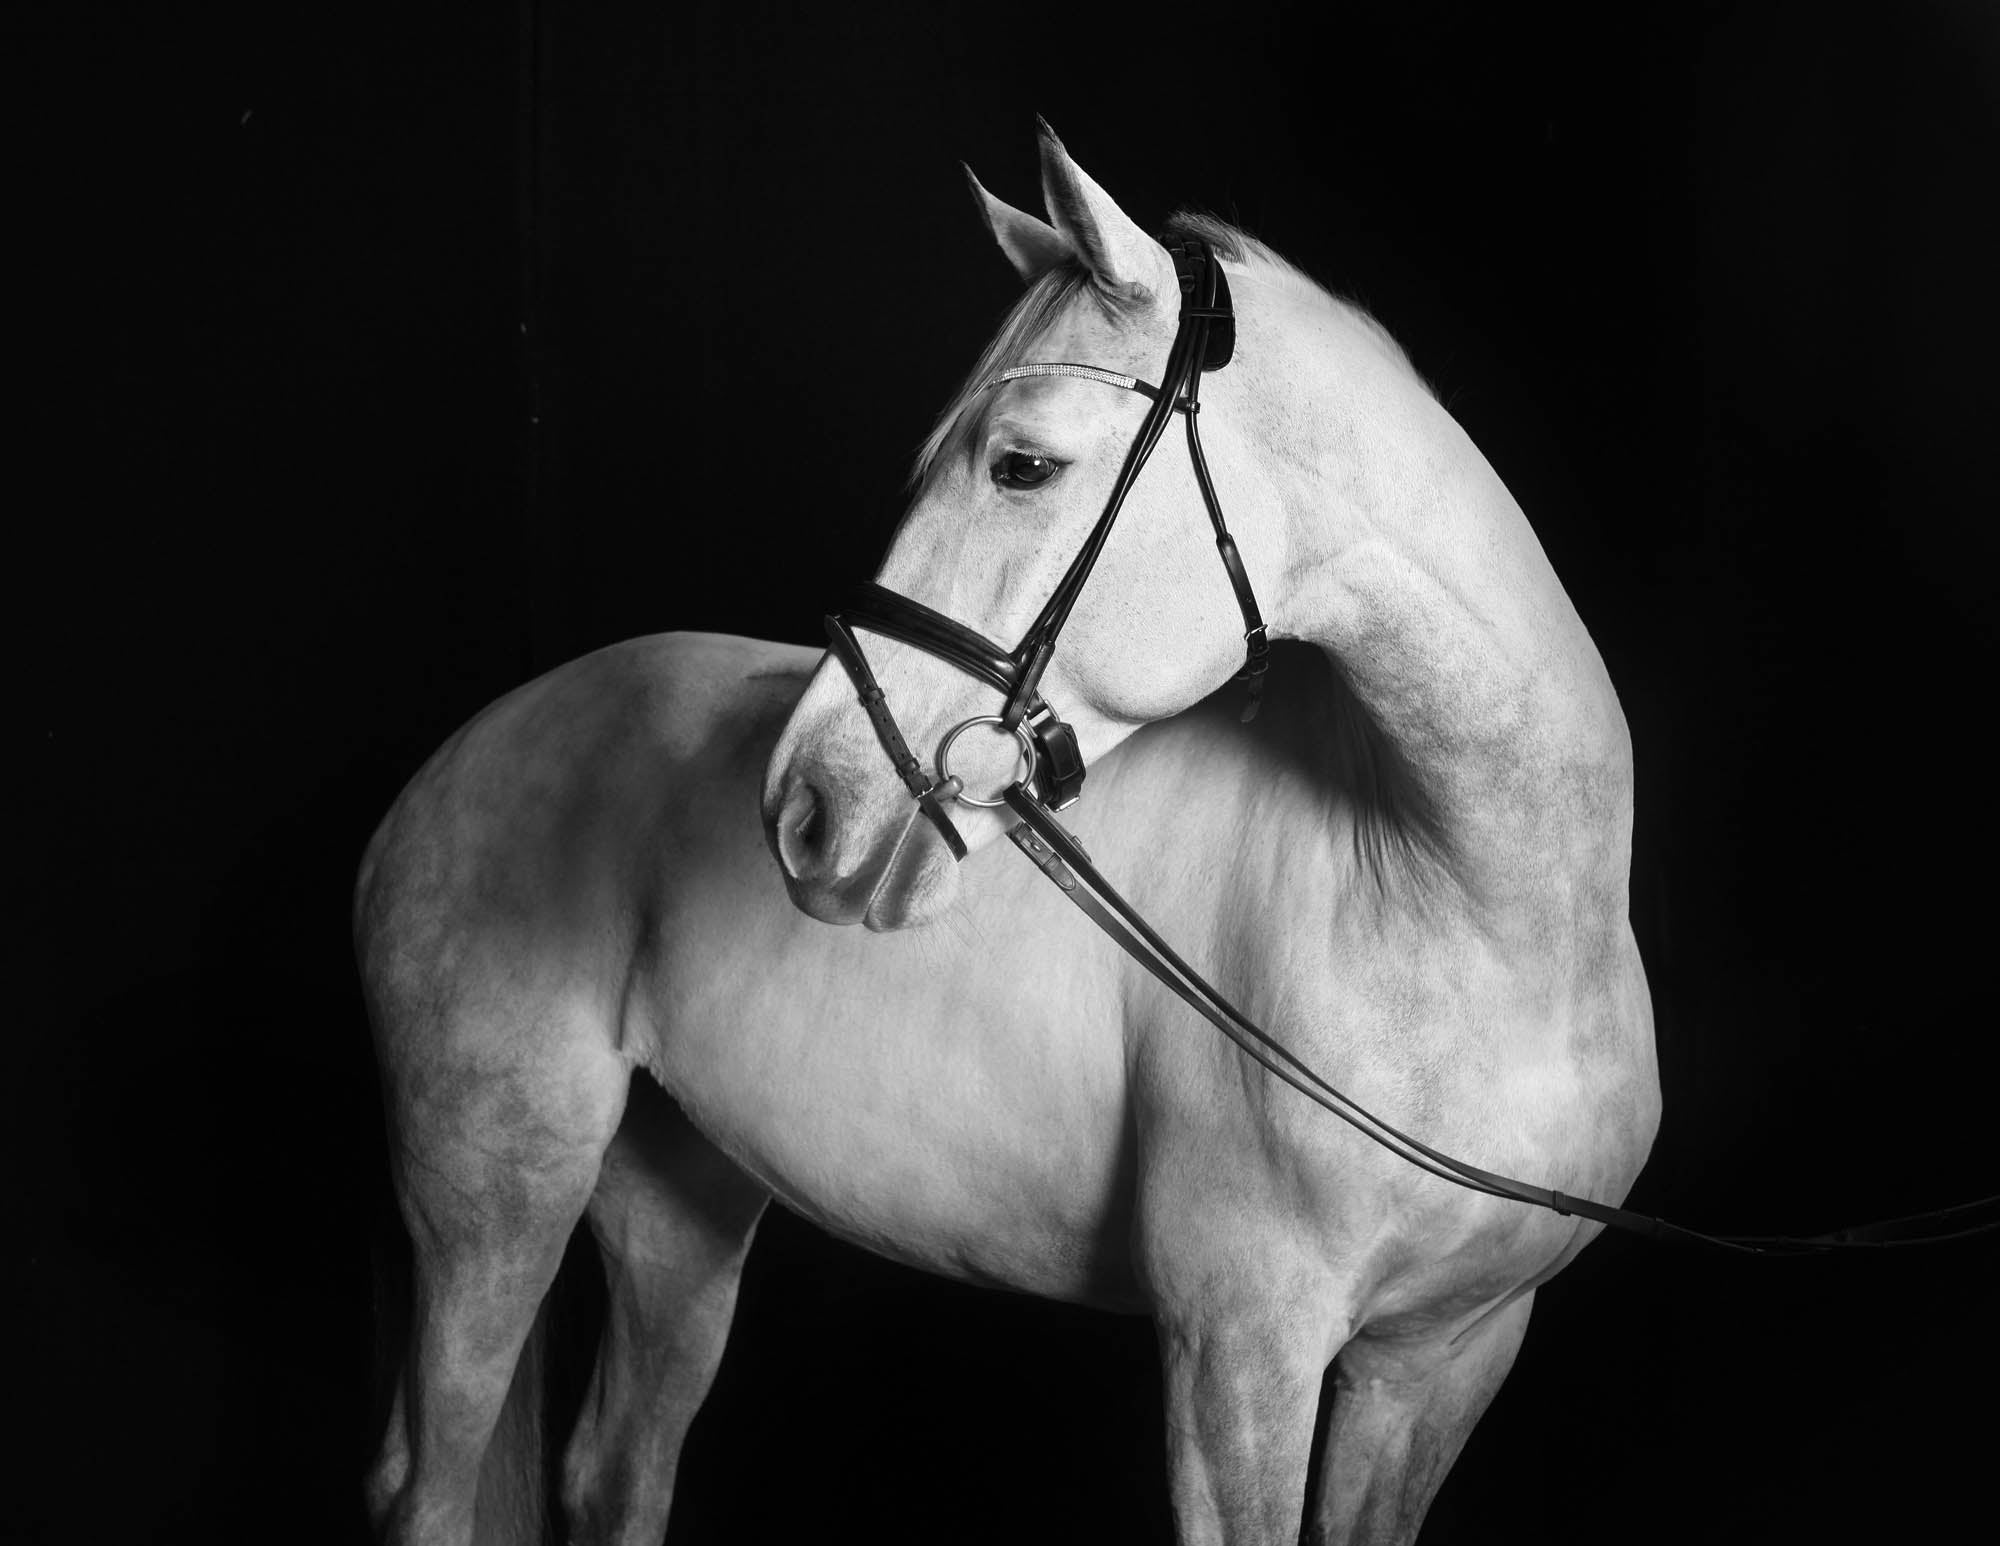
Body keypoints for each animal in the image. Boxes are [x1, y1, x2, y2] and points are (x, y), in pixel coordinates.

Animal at [361, 125, 1659, 1546]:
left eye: (1020, 464)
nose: (802, 804)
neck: (1468, 925)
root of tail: (465, 751)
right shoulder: (1237, 1359)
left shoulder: (1440, 1359)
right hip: (493, 1193)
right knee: (431, 1489)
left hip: (678, 1202)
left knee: (615, 1467)